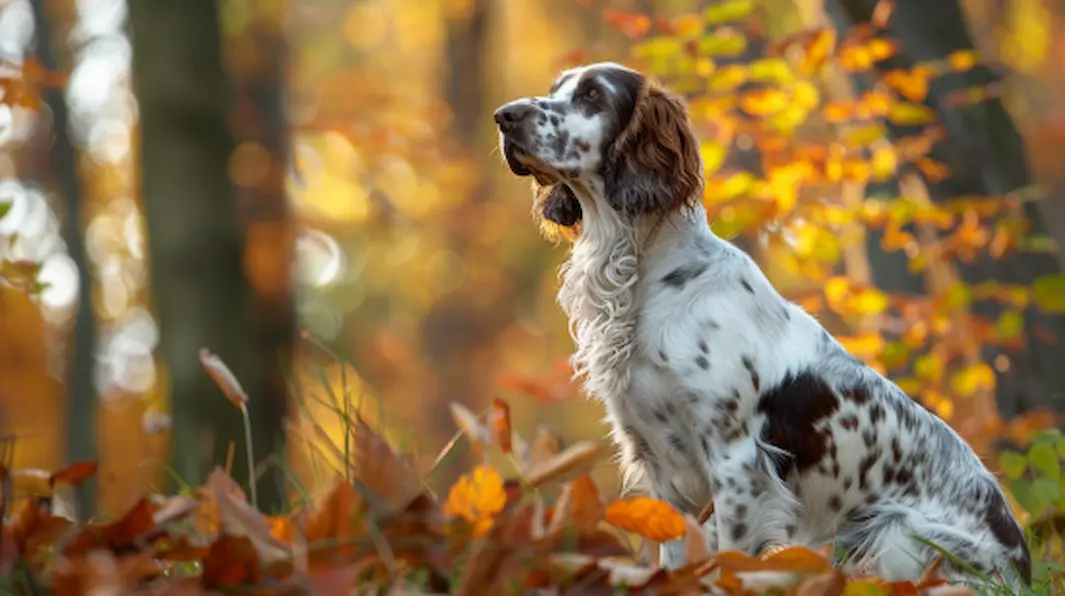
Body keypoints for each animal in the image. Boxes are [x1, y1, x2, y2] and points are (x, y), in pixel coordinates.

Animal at [492, 62, 1030, 587]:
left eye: (592, 95)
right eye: (555, 89)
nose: (505, 115)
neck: (645, 277)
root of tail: (1023, 562)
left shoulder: (736, 460)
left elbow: (728, 560)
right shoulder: (658, 460)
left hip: (897, 536)